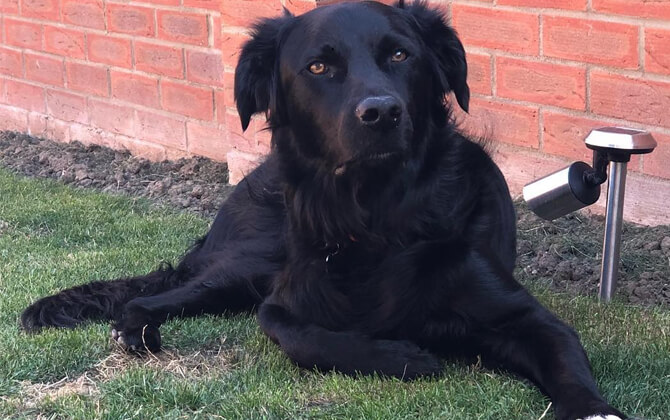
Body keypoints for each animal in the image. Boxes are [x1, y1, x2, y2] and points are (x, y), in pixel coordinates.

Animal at [22, 1, 632, 418]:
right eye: (318, 68)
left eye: (400, 55)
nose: (381, 112)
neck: (378, 220)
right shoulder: (284, 299)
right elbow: (296, 334)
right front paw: (404, 357)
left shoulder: (518, 312)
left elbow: (562, 352)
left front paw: (595, 410)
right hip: (250, 265)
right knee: (156, 294)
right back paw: (134, 330)